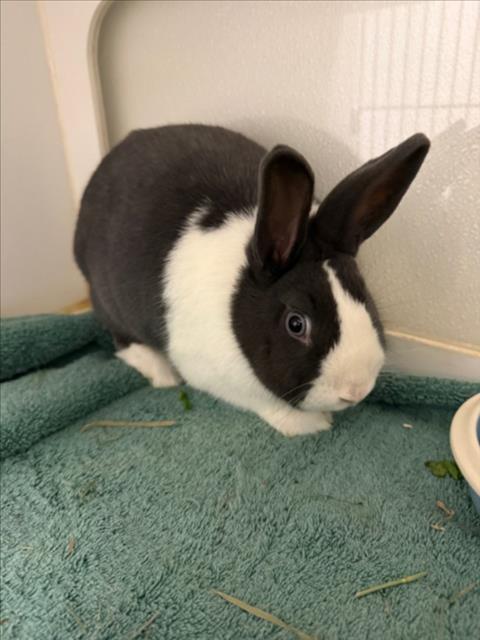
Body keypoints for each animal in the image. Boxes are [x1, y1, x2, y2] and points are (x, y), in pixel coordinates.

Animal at [74, 124, 430, 436]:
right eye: (296, 323)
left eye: (365, 298)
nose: (356, 390)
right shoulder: (209, 371)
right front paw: (309, 425)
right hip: (109, 298)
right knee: (120, 337)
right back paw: (162, 374)